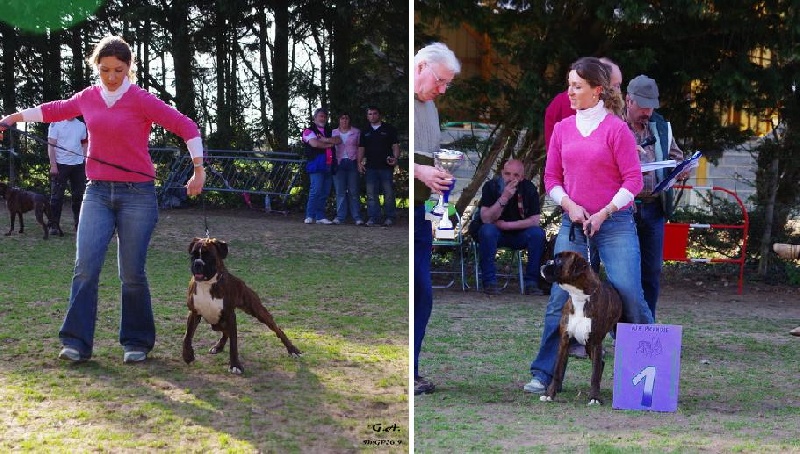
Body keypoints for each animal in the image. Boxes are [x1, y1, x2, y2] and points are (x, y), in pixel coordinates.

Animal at [184, 236, 304, 374]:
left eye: (208, 256)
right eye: (193, 255)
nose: (197, 263)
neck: (207, 284)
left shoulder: (230, 315)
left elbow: (234, 344)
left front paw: (235, 365)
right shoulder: (193, 313)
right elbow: (187, 336)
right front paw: (187, 355)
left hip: (259, 313)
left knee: (278, 330)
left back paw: (293, 350)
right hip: (217, 323)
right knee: (225, 333)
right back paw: (218, 347)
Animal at [540, 252, 620, 404]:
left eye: (558, 260)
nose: (546, 262)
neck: (579, 297)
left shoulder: (595, 343)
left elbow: (594, 373)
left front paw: (594, 397)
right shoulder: (564, 341)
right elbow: (557, 370)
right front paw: (549, 394)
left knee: (599, 365)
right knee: (600, 363)